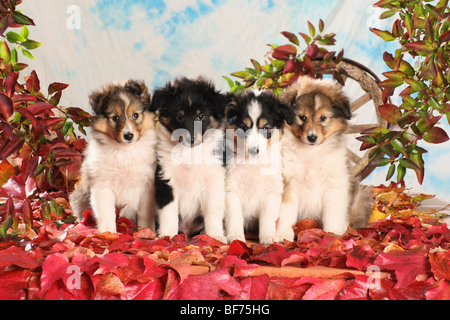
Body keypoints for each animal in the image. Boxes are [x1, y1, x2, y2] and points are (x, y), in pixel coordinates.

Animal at [68, 80, 156, 232]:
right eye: (115, 118)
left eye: (135, 115)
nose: (128, 136)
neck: (125, 151)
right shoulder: (102, 186)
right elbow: (107, 214)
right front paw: (108, 234)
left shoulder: (148, 186)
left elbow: (145, 214)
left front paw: (146, 231)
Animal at [151, 76, 229, 241]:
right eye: (179, 116)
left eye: (201, 116)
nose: (191, 139)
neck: (189, 153)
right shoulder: (166, 181)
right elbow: (168, 212)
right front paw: (167, 234)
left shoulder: (212, 181)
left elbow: (213, 212)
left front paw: (216, 236)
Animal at [225, 90, 296, 245]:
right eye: (244, 128)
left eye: (265, 128)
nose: (253, 150)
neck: (253, 163)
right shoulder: (231, 190)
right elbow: (234, 216)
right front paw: (236, 237)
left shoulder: (272, 191)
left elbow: (267, 217)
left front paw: (268, 238)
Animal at [276, 75, 370, 240]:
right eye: (302, 117)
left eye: (323, 118)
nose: (312, 137)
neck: (311, 152)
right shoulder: (289, 183)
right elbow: (286, 212)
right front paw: (282, 234)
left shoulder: (334, 185)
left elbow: (332, 213)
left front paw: (333, 232)